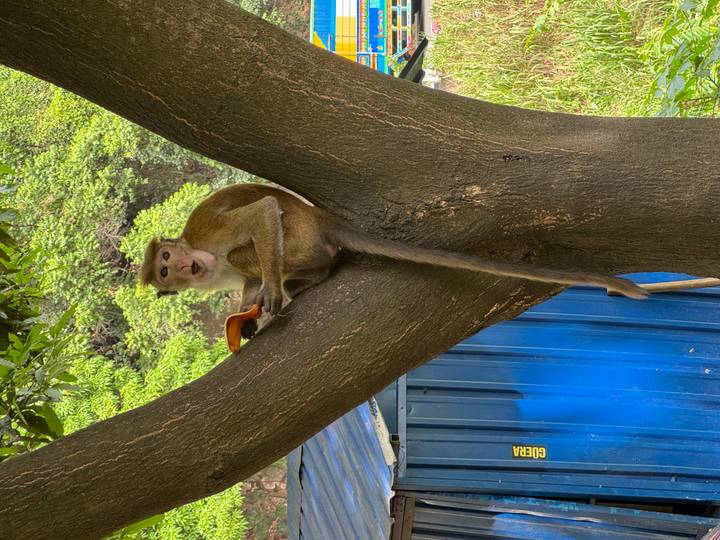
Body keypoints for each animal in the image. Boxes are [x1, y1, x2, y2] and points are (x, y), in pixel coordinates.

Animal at [141, 184, 647, 338]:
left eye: (166, 258)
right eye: (164, 272)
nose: (181, 271)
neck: (204, 258)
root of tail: (320, 219)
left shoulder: (207, 232)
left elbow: (262, 213)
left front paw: (266, 300)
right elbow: (243, 288)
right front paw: (248, 317)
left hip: (298, 237)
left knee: (257, 241)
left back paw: (310, 277)